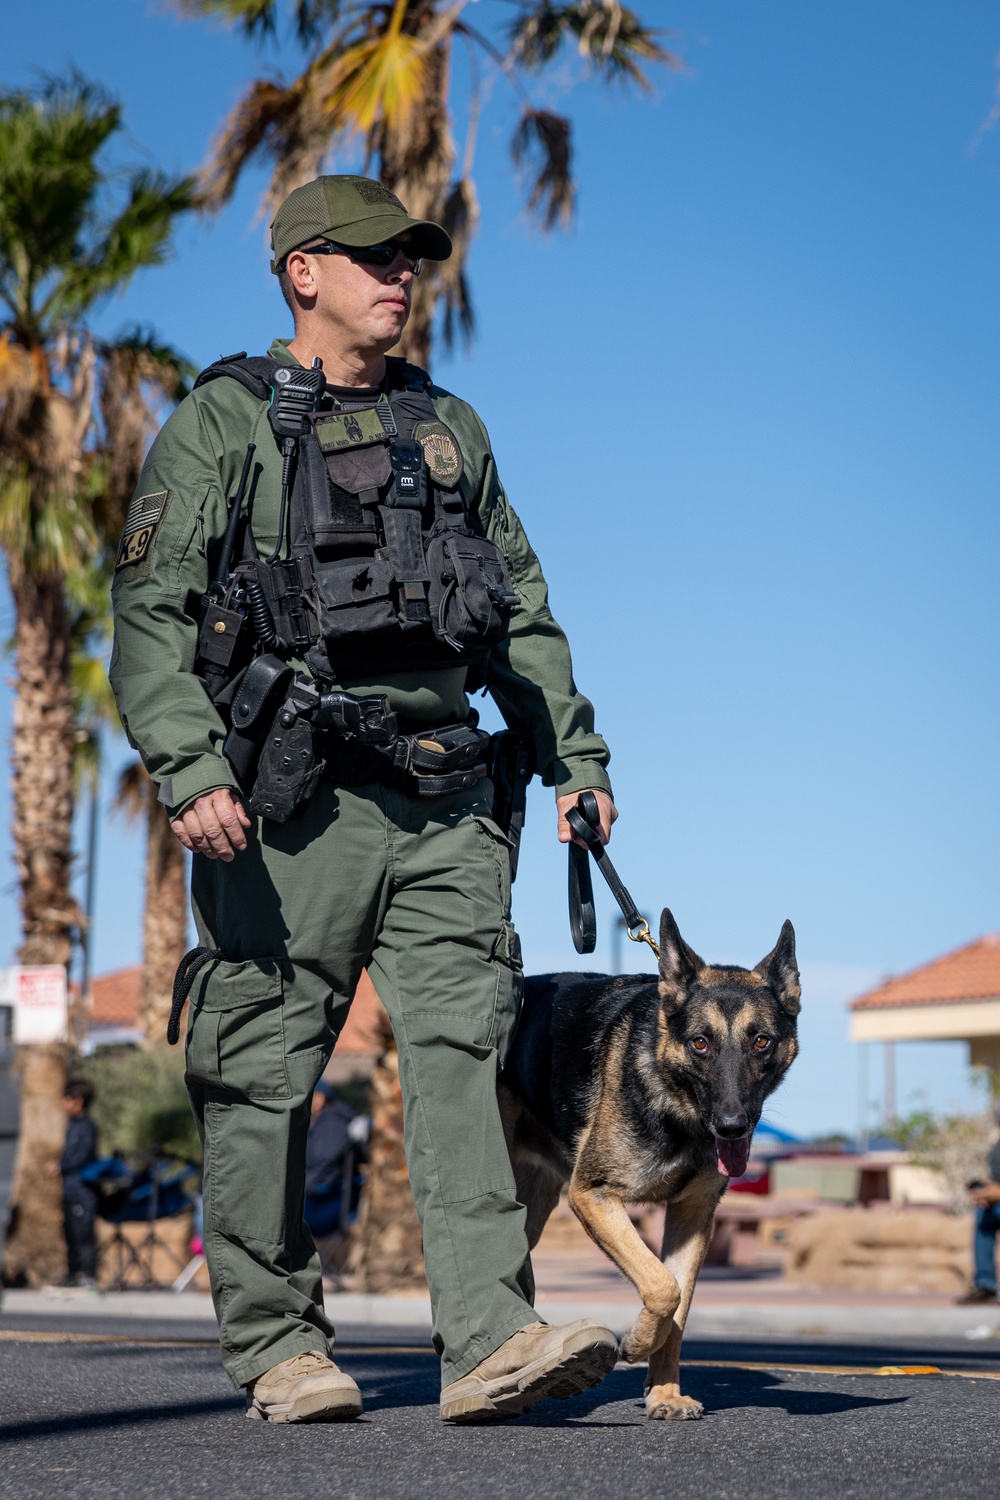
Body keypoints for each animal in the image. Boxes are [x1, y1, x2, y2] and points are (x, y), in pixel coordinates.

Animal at [503, 912, 803, 1416]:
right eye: (700, 1043)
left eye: (761, 1041)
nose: (732, 1127)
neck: (676, 1107)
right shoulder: (593, 1196)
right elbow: (662, 1286)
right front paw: (637, 1342)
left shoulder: (692, 1218)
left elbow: (678, 1305)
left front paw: (663, 1391)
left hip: (532, 1213)